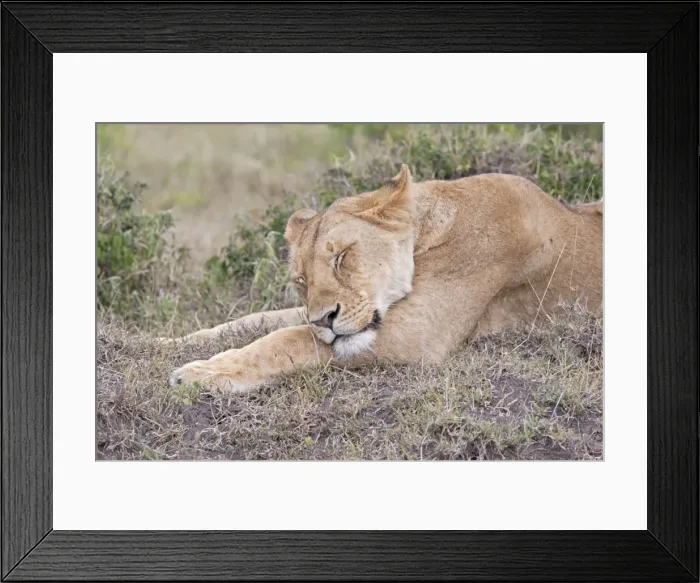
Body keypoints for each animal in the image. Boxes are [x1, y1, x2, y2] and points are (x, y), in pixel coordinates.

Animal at [167, 164, 602, 393]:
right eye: (302, 281)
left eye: (342, 256)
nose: (323, 319)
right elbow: (255, 320)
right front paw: (171, 342)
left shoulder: (418, 334)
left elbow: (286, 339)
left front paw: (205, 373)